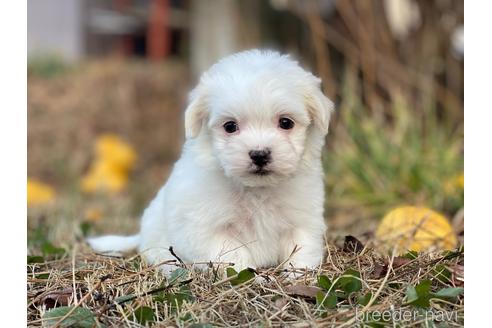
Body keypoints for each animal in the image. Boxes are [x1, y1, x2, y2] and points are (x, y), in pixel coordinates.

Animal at [87, 49, 334, 274]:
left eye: (286, 122)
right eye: (230, 126)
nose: (259, 154)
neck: (255, 190)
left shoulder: (303, 219)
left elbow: (302, 248)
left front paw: (298, 275)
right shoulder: (207, 229)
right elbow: (234, 256)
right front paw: (252, 278)